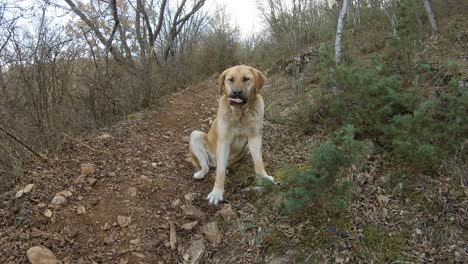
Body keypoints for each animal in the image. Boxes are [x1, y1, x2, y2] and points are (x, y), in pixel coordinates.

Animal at [188, 64, 274, 204]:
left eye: (246, 79)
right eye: (230, 80)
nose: (237, 92)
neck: (240, 113)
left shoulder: (254, 137)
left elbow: (258, 162)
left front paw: (264, 178)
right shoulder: (224, 140)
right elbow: (220, 171)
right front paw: (217, 192)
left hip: (245, 148)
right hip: (196, 135)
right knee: (207, 166)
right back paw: (202, 172)